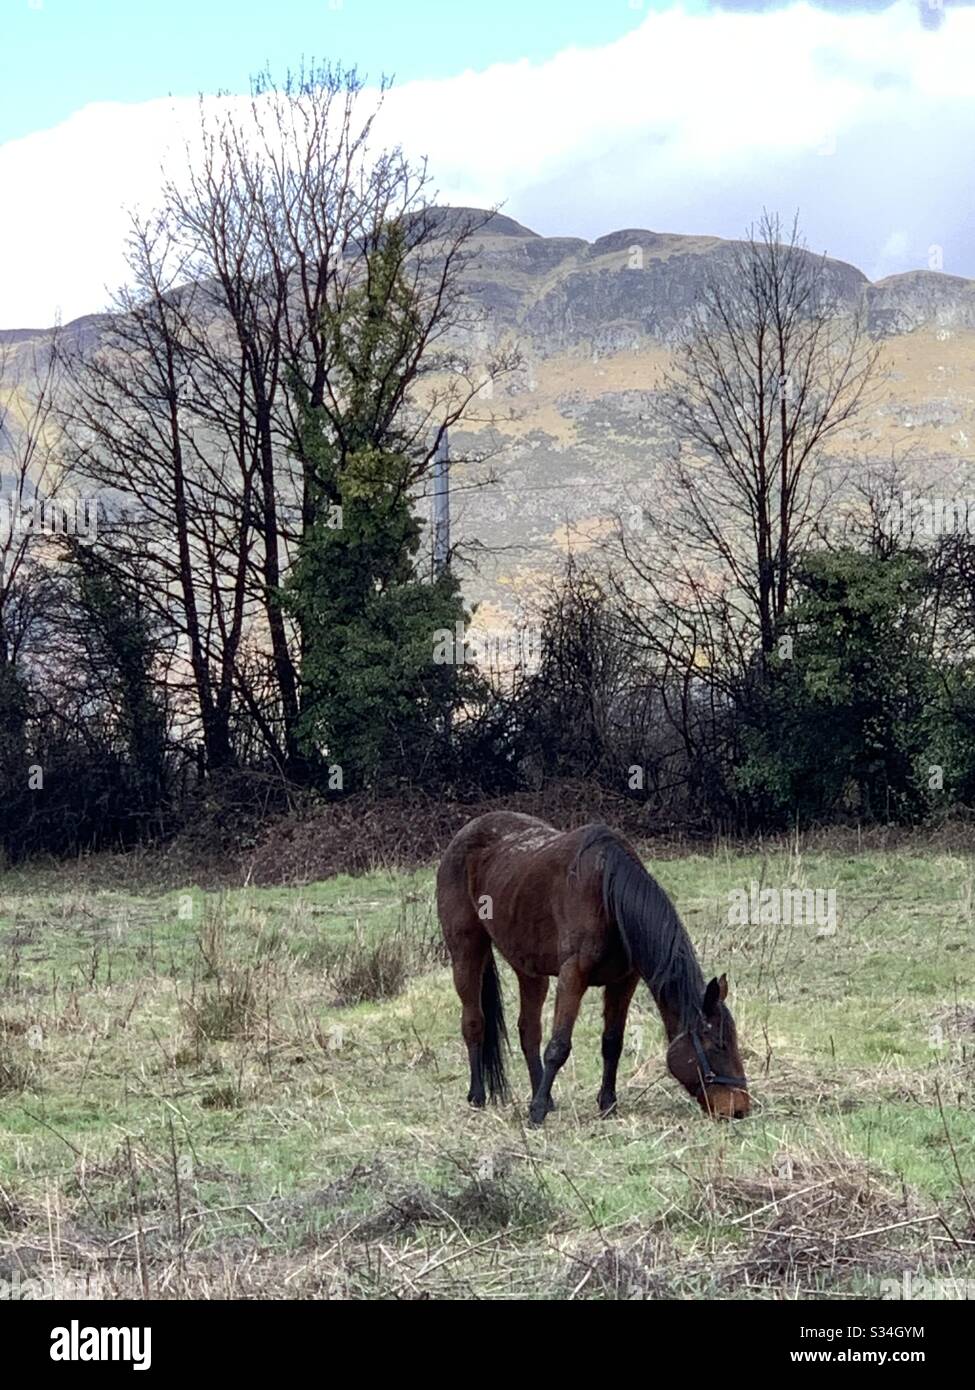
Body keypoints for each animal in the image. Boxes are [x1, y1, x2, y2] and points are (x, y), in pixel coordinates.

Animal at [436, 811, 751, 1123]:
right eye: (719, 1045)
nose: (739, 1108)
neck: (607, 894)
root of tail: (465, 833)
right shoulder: (572, 975)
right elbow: (558, 1046)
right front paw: (537, 1112)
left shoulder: (624, 982)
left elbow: (612, 1042)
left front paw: (607, 1103)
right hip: (466, 952)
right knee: (474, 1022)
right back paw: (478, 1096)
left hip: (530, 971)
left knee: (529, 1031)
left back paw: (541, 1094)